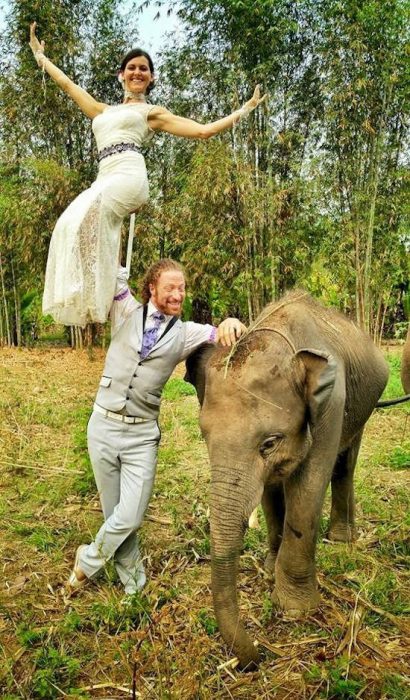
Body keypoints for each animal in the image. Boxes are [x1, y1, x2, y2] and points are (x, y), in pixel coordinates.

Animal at [187, 288, 390, 668]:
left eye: (269, 443)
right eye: (204, 436)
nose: (256, 656)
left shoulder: (332, 401)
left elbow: (308, 486)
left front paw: (295, 609)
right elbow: (270, 491)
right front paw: (269, 569)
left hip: (365, 407)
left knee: (345, 464)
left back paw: (341, 539)